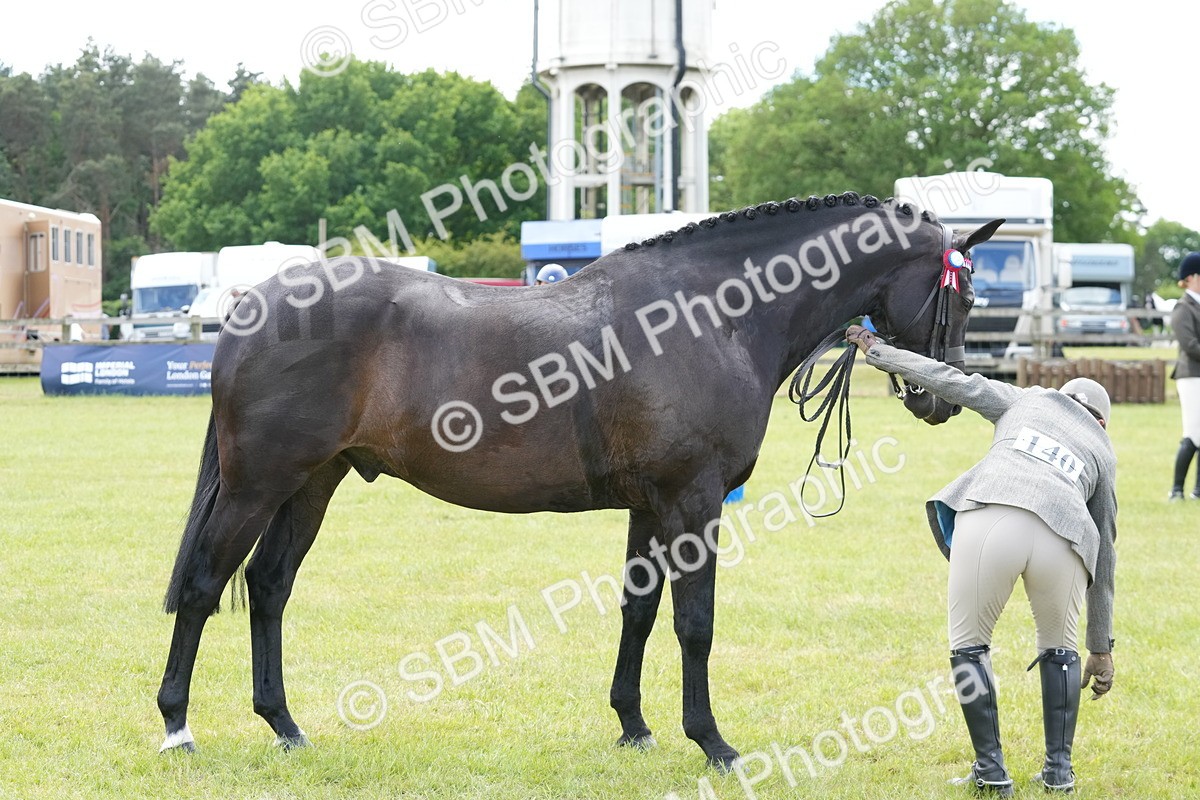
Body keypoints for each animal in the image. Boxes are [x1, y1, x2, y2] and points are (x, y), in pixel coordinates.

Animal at [157, 191, 1002, 768]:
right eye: (961, 291)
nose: (938, 398)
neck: (710, 315)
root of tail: (252, 310)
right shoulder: (694, 502)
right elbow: (695, 624)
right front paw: (714, 743)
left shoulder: (651, 508)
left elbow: (639, 612)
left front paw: (634, 725)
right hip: (257, 487)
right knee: (204, 587)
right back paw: (177, 726)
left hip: (312, 485)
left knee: (268, 588)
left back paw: (285, 725)